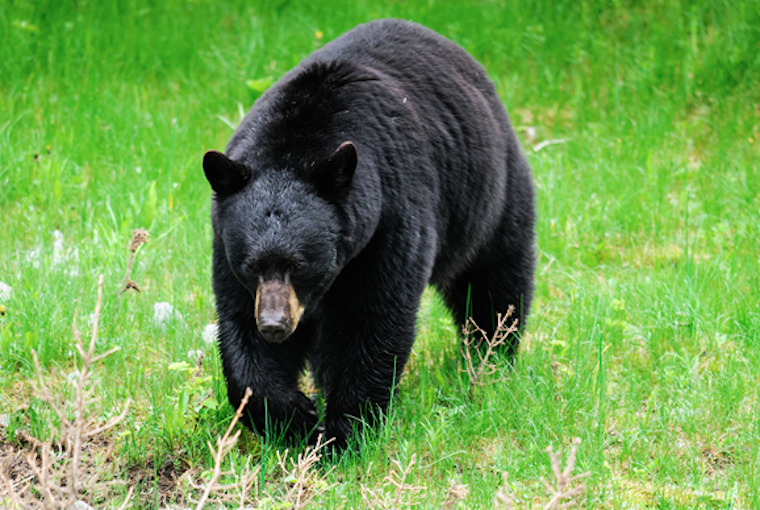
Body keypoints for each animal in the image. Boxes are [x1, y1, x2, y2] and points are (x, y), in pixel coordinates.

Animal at [202, 18, 536, 450]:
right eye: (252, 265)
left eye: (299, 264)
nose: (275, 324)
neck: (295, 145)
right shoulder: (226, 243)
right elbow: (241, 324)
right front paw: (293, 417)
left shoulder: (389, 218)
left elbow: (373, 320)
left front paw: (344, 432)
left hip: (490, 196)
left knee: (494, 282)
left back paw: (490, 356)